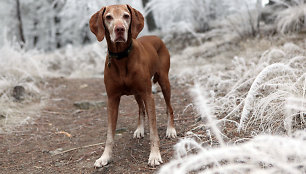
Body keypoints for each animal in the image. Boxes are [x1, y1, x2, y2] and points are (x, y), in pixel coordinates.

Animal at [89, 4, 177, 167]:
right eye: (108, 17)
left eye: (126, 16)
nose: (119, 29)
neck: (121, 56)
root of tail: (156, 37)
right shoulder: (112, 99)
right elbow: (109, 134)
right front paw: (104, 157)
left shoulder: (148, 95)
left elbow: (154, 131)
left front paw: (154, 155)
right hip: (137, 93)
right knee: (141, 109)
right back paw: (140, 129)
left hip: (164, 81)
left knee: (169, 108)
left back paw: (171, 130)